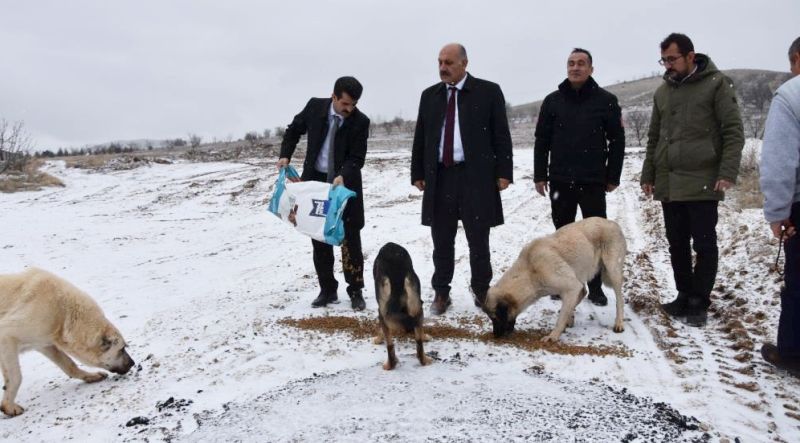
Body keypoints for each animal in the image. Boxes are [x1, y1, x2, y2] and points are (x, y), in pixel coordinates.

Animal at [0, 268, 134, 418]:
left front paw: (92, 376)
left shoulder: (44, 341)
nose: (132, 363)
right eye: (122, 349)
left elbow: (68, 364)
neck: (63, 311)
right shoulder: (7, 335)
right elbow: (16, 376)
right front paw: (10, 407)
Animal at [484, 219, 628, 344]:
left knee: (620, 300)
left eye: (495, 318)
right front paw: (567, 320)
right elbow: (569, 305)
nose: (495, 335)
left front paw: (553, 336)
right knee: (583, 292)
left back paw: (619, 323)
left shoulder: (571, 287)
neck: (530, 271)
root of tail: (612, 223)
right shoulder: (571, 287)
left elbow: (561, 318)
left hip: (612, 271)